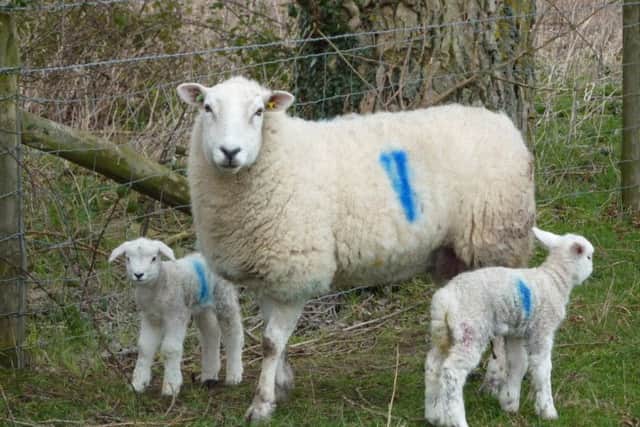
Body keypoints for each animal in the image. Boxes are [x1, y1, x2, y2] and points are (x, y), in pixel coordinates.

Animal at [108, 237, 244, 397]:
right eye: (128, 258)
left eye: (154, 258)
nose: (139, 274)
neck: (159, 285)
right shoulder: (150, 317)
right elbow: (144, 347)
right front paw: (138, 384)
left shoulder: (176, 314)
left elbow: (170, 348)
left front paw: (171, 386)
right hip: (201, 305)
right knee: (211, 333)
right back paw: (209, 375)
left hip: (223, 296)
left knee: (233, 332)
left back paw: (234, 375)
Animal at [176, 76, 536, 421]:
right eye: (207, 108)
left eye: (259, 112)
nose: (230, 151)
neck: (278, 157)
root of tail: (503, 123)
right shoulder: (274, 274)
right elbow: (273, 338)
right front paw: (281, 384)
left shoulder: (297, 269)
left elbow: (270, 343)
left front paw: (262, 403)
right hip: (453, 256)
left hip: (494, 242)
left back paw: (495, 379)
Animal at [424, 227, 594, 427]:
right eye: (589, 257)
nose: (592, 269)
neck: (554, 279)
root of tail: (444, 299)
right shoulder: (542, 329)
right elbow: (542, 368)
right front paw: (547, 410)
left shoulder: (516, 333)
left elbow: (518, 363)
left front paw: (509, 402)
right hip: (471, 330)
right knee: (452, 372)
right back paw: (458, 420)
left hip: (445, 334)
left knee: (433, 365)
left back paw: (434, 414)